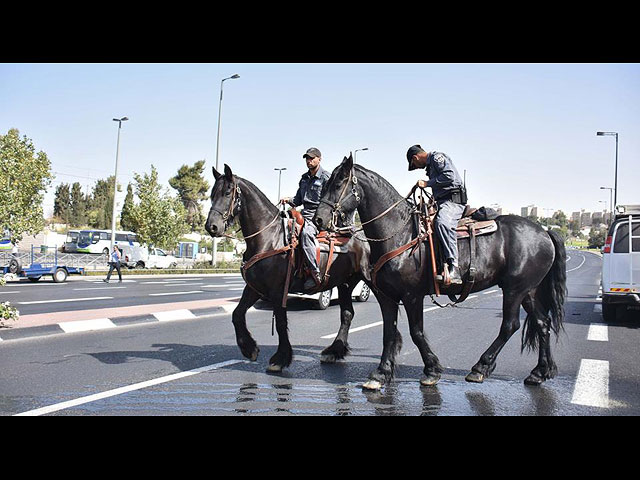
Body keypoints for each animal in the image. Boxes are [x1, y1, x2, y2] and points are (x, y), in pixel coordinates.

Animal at [204, 164, 376, 372]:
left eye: (228, 192)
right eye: (212, 193)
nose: (211, 227)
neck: (269, 238)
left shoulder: (278, 290)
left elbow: (280, 322)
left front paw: (280, 358)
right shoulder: (254, 288)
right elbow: (237, 314)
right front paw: (249, 348)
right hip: (345, 284)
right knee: (347, 314)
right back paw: (334, 351)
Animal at [312, 157, 568, 390]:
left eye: (339, 182)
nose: (318, 219)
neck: (400, 233)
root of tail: (544, 232)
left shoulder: (412, 296)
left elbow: (416, 333)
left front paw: (431, 370)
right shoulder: (387, 296)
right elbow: (389, 332)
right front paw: (381, 374)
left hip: (515, 289)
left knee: (510, 325)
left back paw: (481, 367)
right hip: (529, 291)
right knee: (542, 323)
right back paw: (539, 372)